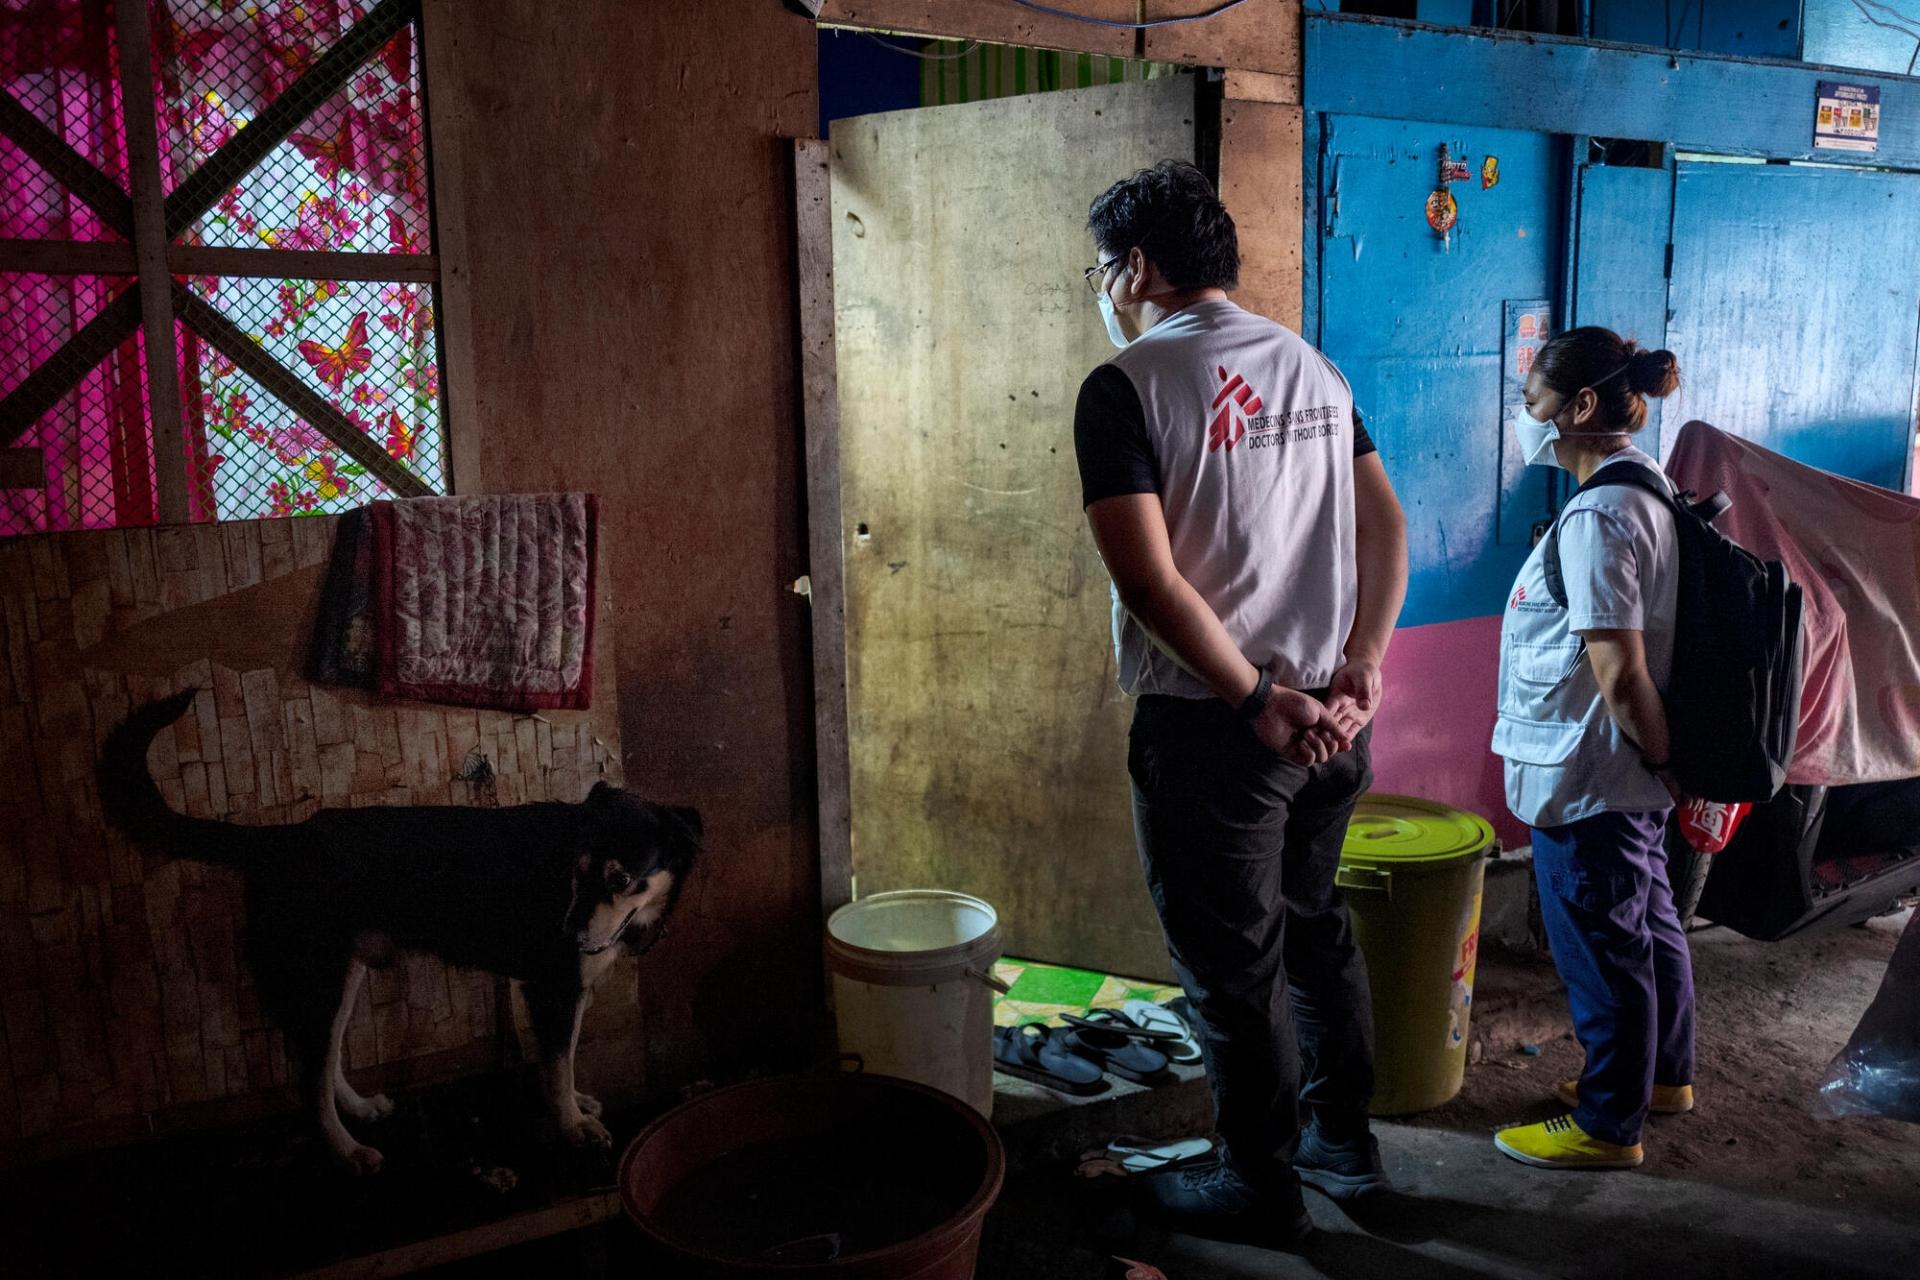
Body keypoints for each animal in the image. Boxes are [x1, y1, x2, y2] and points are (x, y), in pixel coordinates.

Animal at [97, 694, 698, 1174]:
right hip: (318, 975)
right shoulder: (553, 989)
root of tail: (277, 840)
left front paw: (574, 1104)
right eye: (578, 867)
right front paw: (572, 1125)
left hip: (342, 975)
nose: (568, 929)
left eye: (620, 878)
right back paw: (346, 1151)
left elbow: (564, 1055)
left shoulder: (570, 991)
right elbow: (556, 1061)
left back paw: (359, 1109)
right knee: (309, 1081)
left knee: (324, 1059)